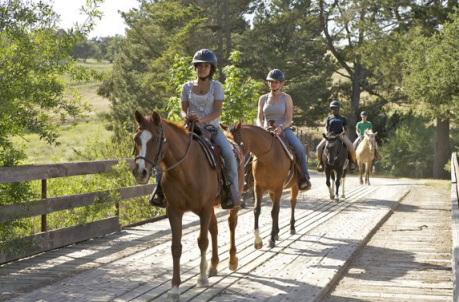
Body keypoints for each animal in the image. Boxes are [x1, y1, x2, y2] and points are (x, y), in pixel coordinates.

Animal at [133, 111, 244, 302]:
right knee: (214, 228)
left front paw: (202, 278)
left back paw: (232, 260)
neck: (185, 170)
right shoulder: (174, 211)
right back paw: (213, 265)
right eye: (136, 139)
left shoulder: (204, 209)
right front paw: (174, 288)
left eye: (156, 139)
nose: (140, 172)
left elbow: (203, 241)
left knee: (231, 224)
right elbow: (176, 248)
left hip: (233, 201)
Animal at [230, 121, 302, 249]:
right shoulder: (258, 187)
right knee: (278, 207)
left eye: (238, 142)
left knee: (292, 203)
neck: (269, 157)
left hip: (294, 186)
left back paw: (292, 227)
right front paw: (258, 241)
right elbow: (257, 210)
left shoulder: (278, 188)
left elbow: (274, 211)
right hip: (271, 191)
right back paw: (277, 232)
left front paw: (271, 239)